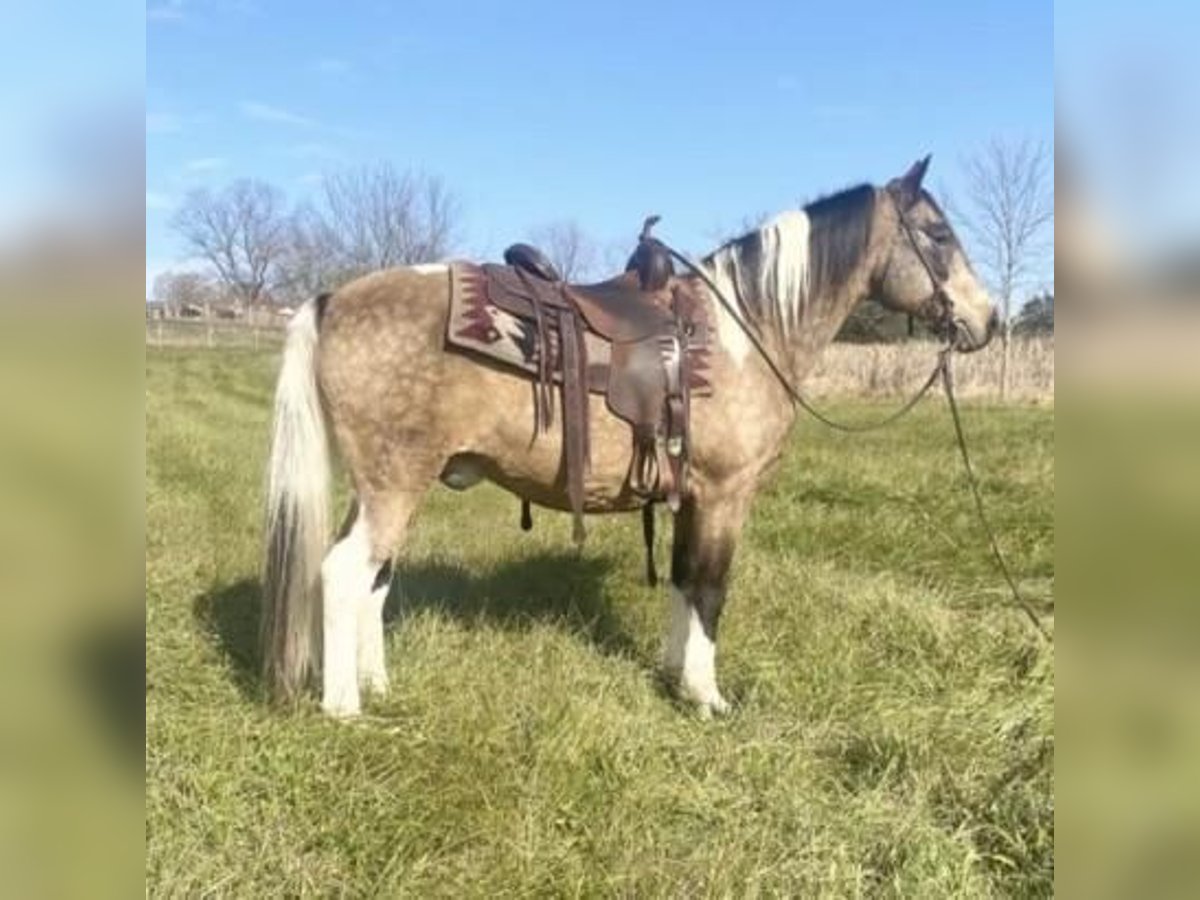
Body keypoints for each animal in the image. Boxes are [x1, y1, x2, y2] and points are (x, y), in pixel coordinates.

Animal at [265, 157, 1003, 720]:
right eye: (938, 233)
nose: (989, 320)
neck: (743, 332)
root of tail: (332, 301)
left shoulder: (689, 497)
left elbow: (682, 582)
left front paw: (675, 676)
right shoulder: (725, 496)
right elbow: (710, 589)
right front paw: (707, 698)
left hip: (386, 486)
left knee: (373, 579)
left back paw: (376, 686)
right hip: (394, 483)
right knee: (344, 573)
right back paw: (345, 709)